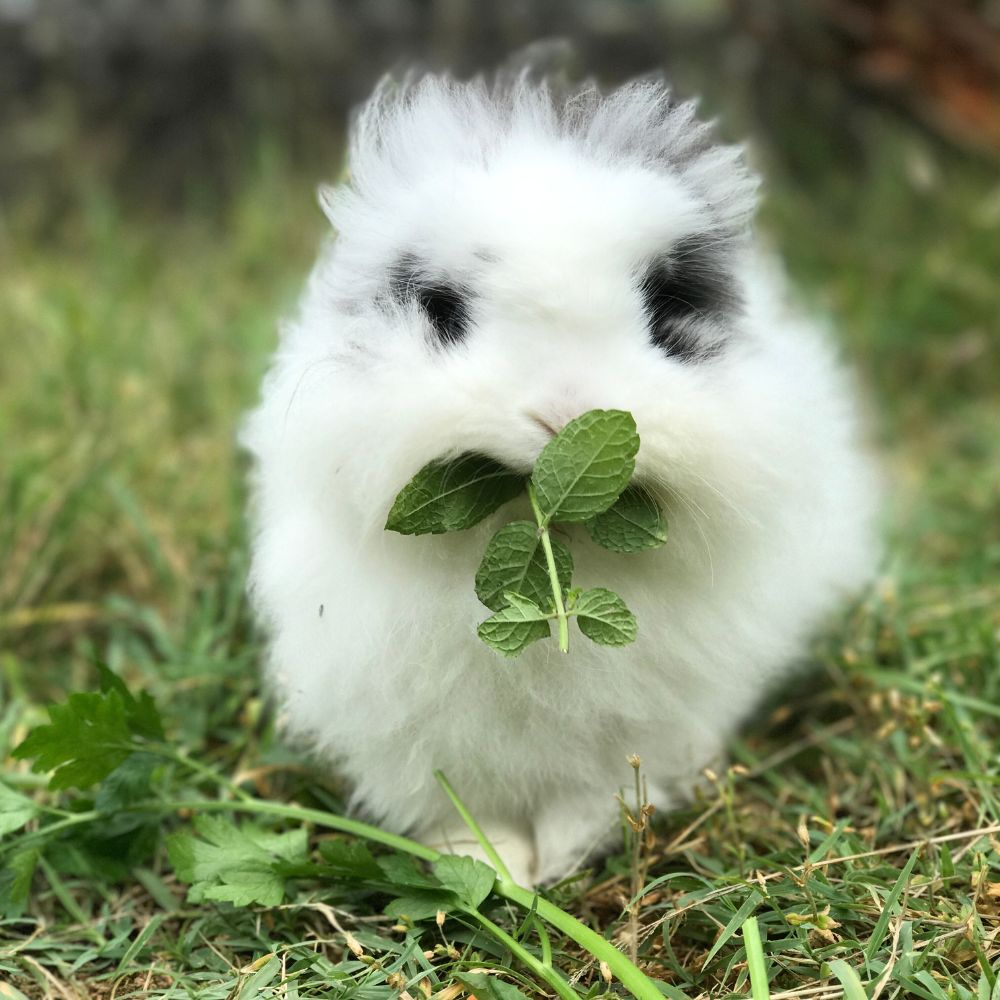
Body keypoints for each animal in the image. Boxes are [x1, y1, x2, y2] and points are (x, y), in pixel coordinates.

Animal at [240, 68, 880, 886]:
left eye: (665, 307)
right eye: (442, 311)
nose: (564, 412)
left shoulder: (637, 732)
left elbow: (590, 798)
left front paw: (560, 863)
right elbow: (458, 808)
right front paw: (494, 869)